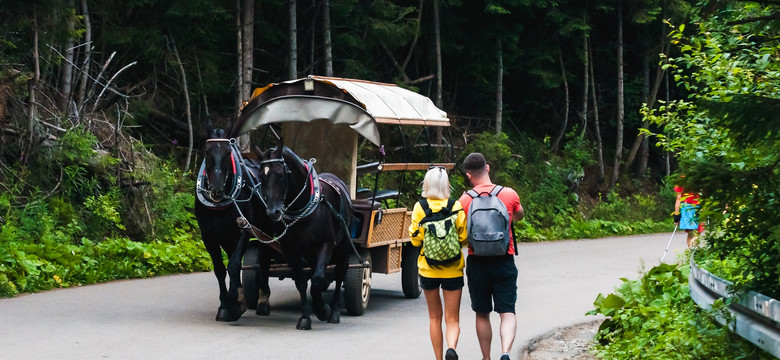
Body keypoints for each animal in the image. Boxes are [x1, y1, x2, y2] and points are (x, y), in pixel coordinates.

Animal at [194, 123, 278, 320]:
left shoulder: (243, 229)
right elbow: (220, 268)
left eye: (227, 152)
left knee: (265, 260)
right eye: (206, 151)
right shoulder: (208, 235)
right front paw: (225, 304)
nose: (216, 190)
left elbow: (233, 265)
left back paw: (263, 299)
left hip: (265, 229)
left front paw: (237, 300)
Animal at [256, 139, 354, 330]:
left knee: (340, 274)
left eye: (280, 175)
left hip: (343, 247)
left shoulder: (326, 245)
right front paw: (306, 316)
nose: (272, 212)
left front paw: (323, 310)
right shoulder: (290, 250)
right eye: (261, 177)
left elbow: (317, 279)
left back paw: (335, 311)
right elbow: (302, 281)